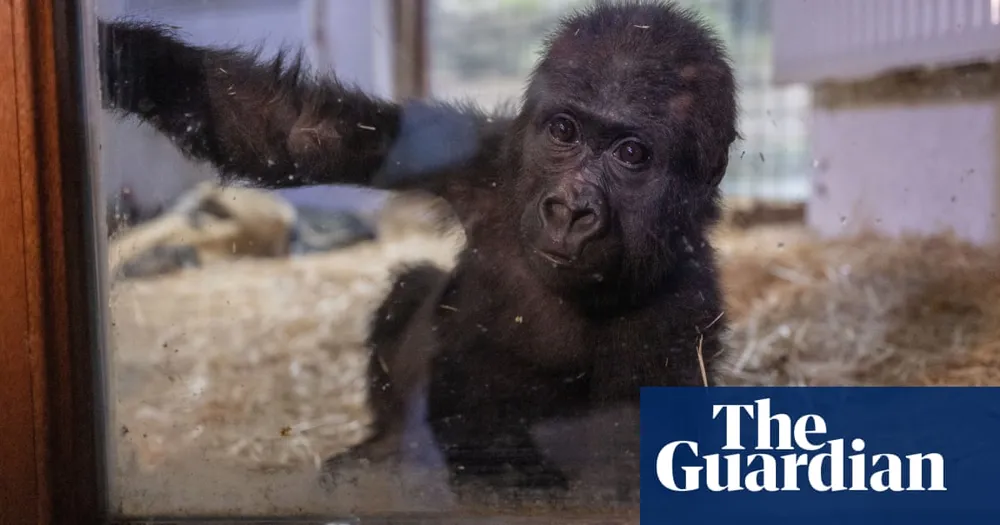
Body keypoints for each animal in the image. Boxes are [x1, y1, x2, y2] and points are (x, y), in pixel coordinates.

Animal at [99, 0, 736, 492]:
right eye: (564, 131)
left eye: (631, 155)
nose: (570, 209)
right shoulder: (482, 157)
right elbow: (302, 131)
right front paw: (129, 58)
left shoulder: (683, 309)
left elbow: (619, 467)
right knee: (414, 282)